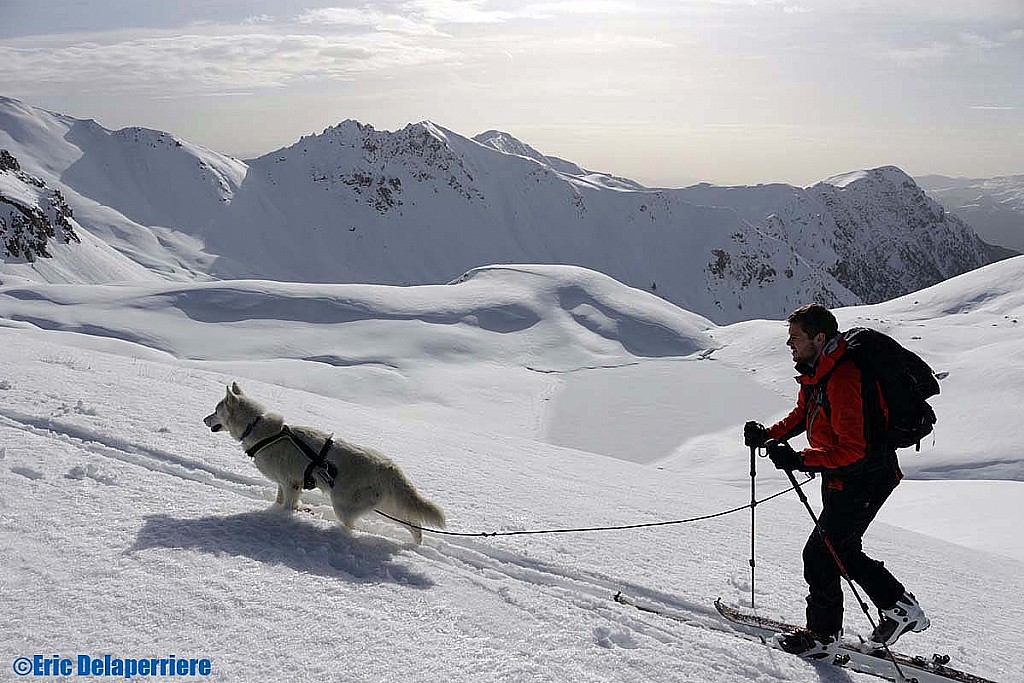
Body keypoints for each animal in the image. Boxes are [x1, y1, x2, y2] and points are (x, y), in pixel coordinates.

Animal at [205, 385, 446, 544]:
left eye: (216, 411)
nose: (204, 419)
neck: (261, 431)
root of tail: (389, 467)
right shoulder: (284, 484)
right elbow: (281, 501)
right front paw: (282, 511)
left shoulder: (292, 484)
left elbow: (289, 506)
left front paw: (288, 517)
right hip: (386, 505)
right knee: (413, 523)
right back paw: (415, 544)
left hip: (343, 505)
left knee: (352, 526)